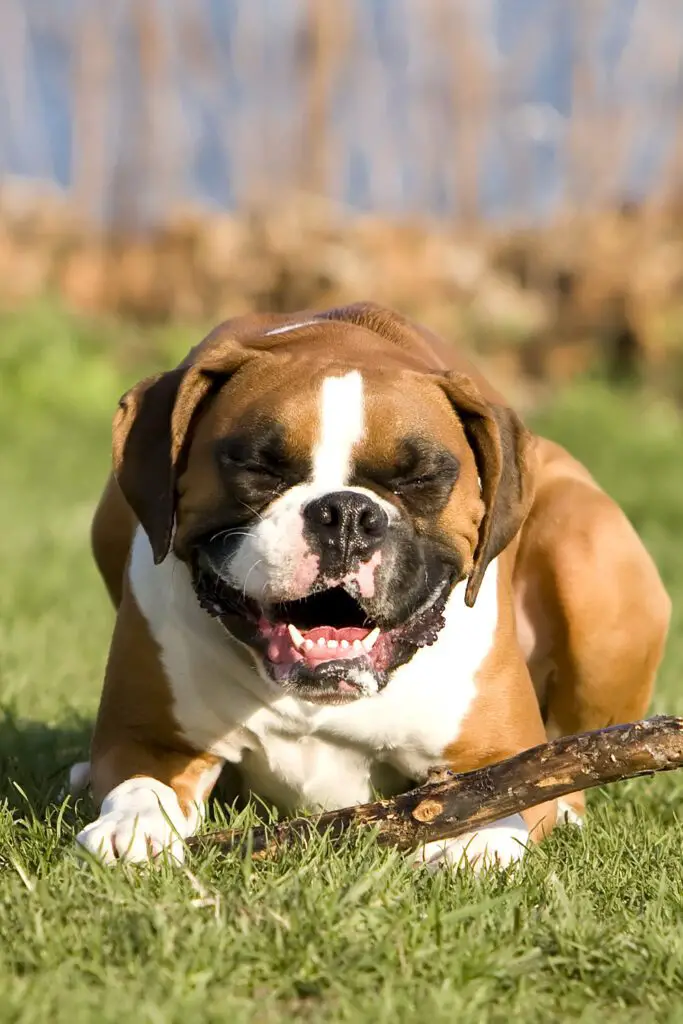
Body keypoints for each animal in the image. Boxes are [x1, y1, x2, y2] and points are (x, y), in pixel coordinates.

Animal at [73, 299, 667, 868]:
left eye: (420, 478)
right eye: (259, 467)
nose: (346, 515)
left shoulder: (502, 754)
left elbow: (505, 795)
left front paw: (475, 845)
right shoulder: (148, 740)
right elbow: (141, 787)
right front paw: (131, 829)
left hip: (588, 546)